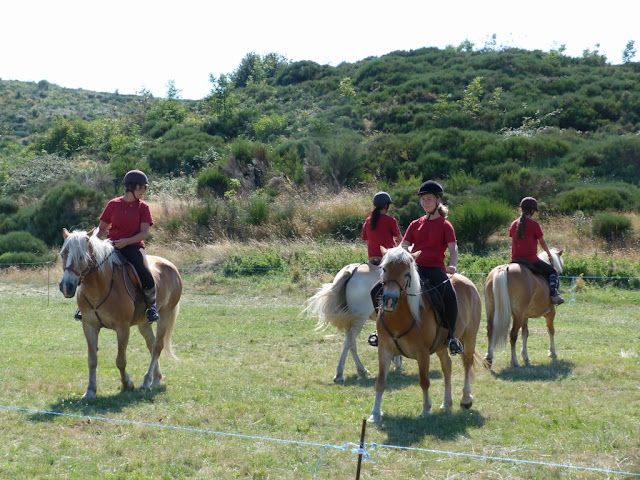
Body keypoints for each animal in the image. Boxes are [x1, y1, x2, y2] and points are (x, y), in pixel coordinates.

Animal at [59, 227, 182, 400]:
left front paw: (127, 384)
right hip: (143, 323)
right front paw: (90, 391)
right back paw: (156, 378)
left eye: (81, 257)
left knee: (157, 346)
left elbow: (120, 360)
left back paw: (146, 381)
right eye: (63, 254)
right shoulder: (89, 326)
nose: (66, 286)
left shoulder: (122, 328)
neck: (101, 285)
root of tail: (171, 266)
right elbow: (92, 359)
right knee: (151, 345)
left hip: (165, 314)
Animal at [368, 248, 482, 424]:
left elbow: (424, 381)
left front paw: (426, 409)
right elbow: (380, 382)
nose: (389, 300)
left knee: (467, 364)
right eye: (384, 269)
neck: (401, 317)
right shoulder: (384, 350)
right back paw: (447, 402)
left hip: (470, 337)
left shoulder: (422, 354)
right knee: (447, 366)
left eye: (407, 273)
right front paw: (374, 414)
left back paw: (465, 399)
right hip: (442, 345)